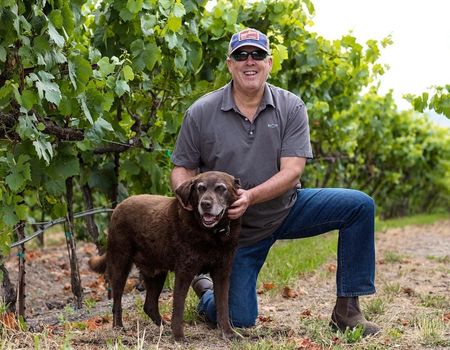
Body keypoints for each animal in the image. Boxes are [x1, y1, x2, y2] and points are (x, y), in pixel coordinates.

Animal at [89, 171, 241, 340]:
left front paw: (228, 332)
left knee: (149, 305)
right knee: (117, 302)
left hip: (156, 273)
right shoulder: (184, 272)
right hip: (120, 265)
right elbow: (178, 307)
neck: (211, 235)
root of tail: (118, 207)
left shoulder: (222, 273)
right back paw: (119, 327)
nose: (205, 204)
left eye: (221, 188)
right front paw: (179, 336)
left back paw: (163, 327)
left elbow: (223, 305)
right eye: (200, 188)